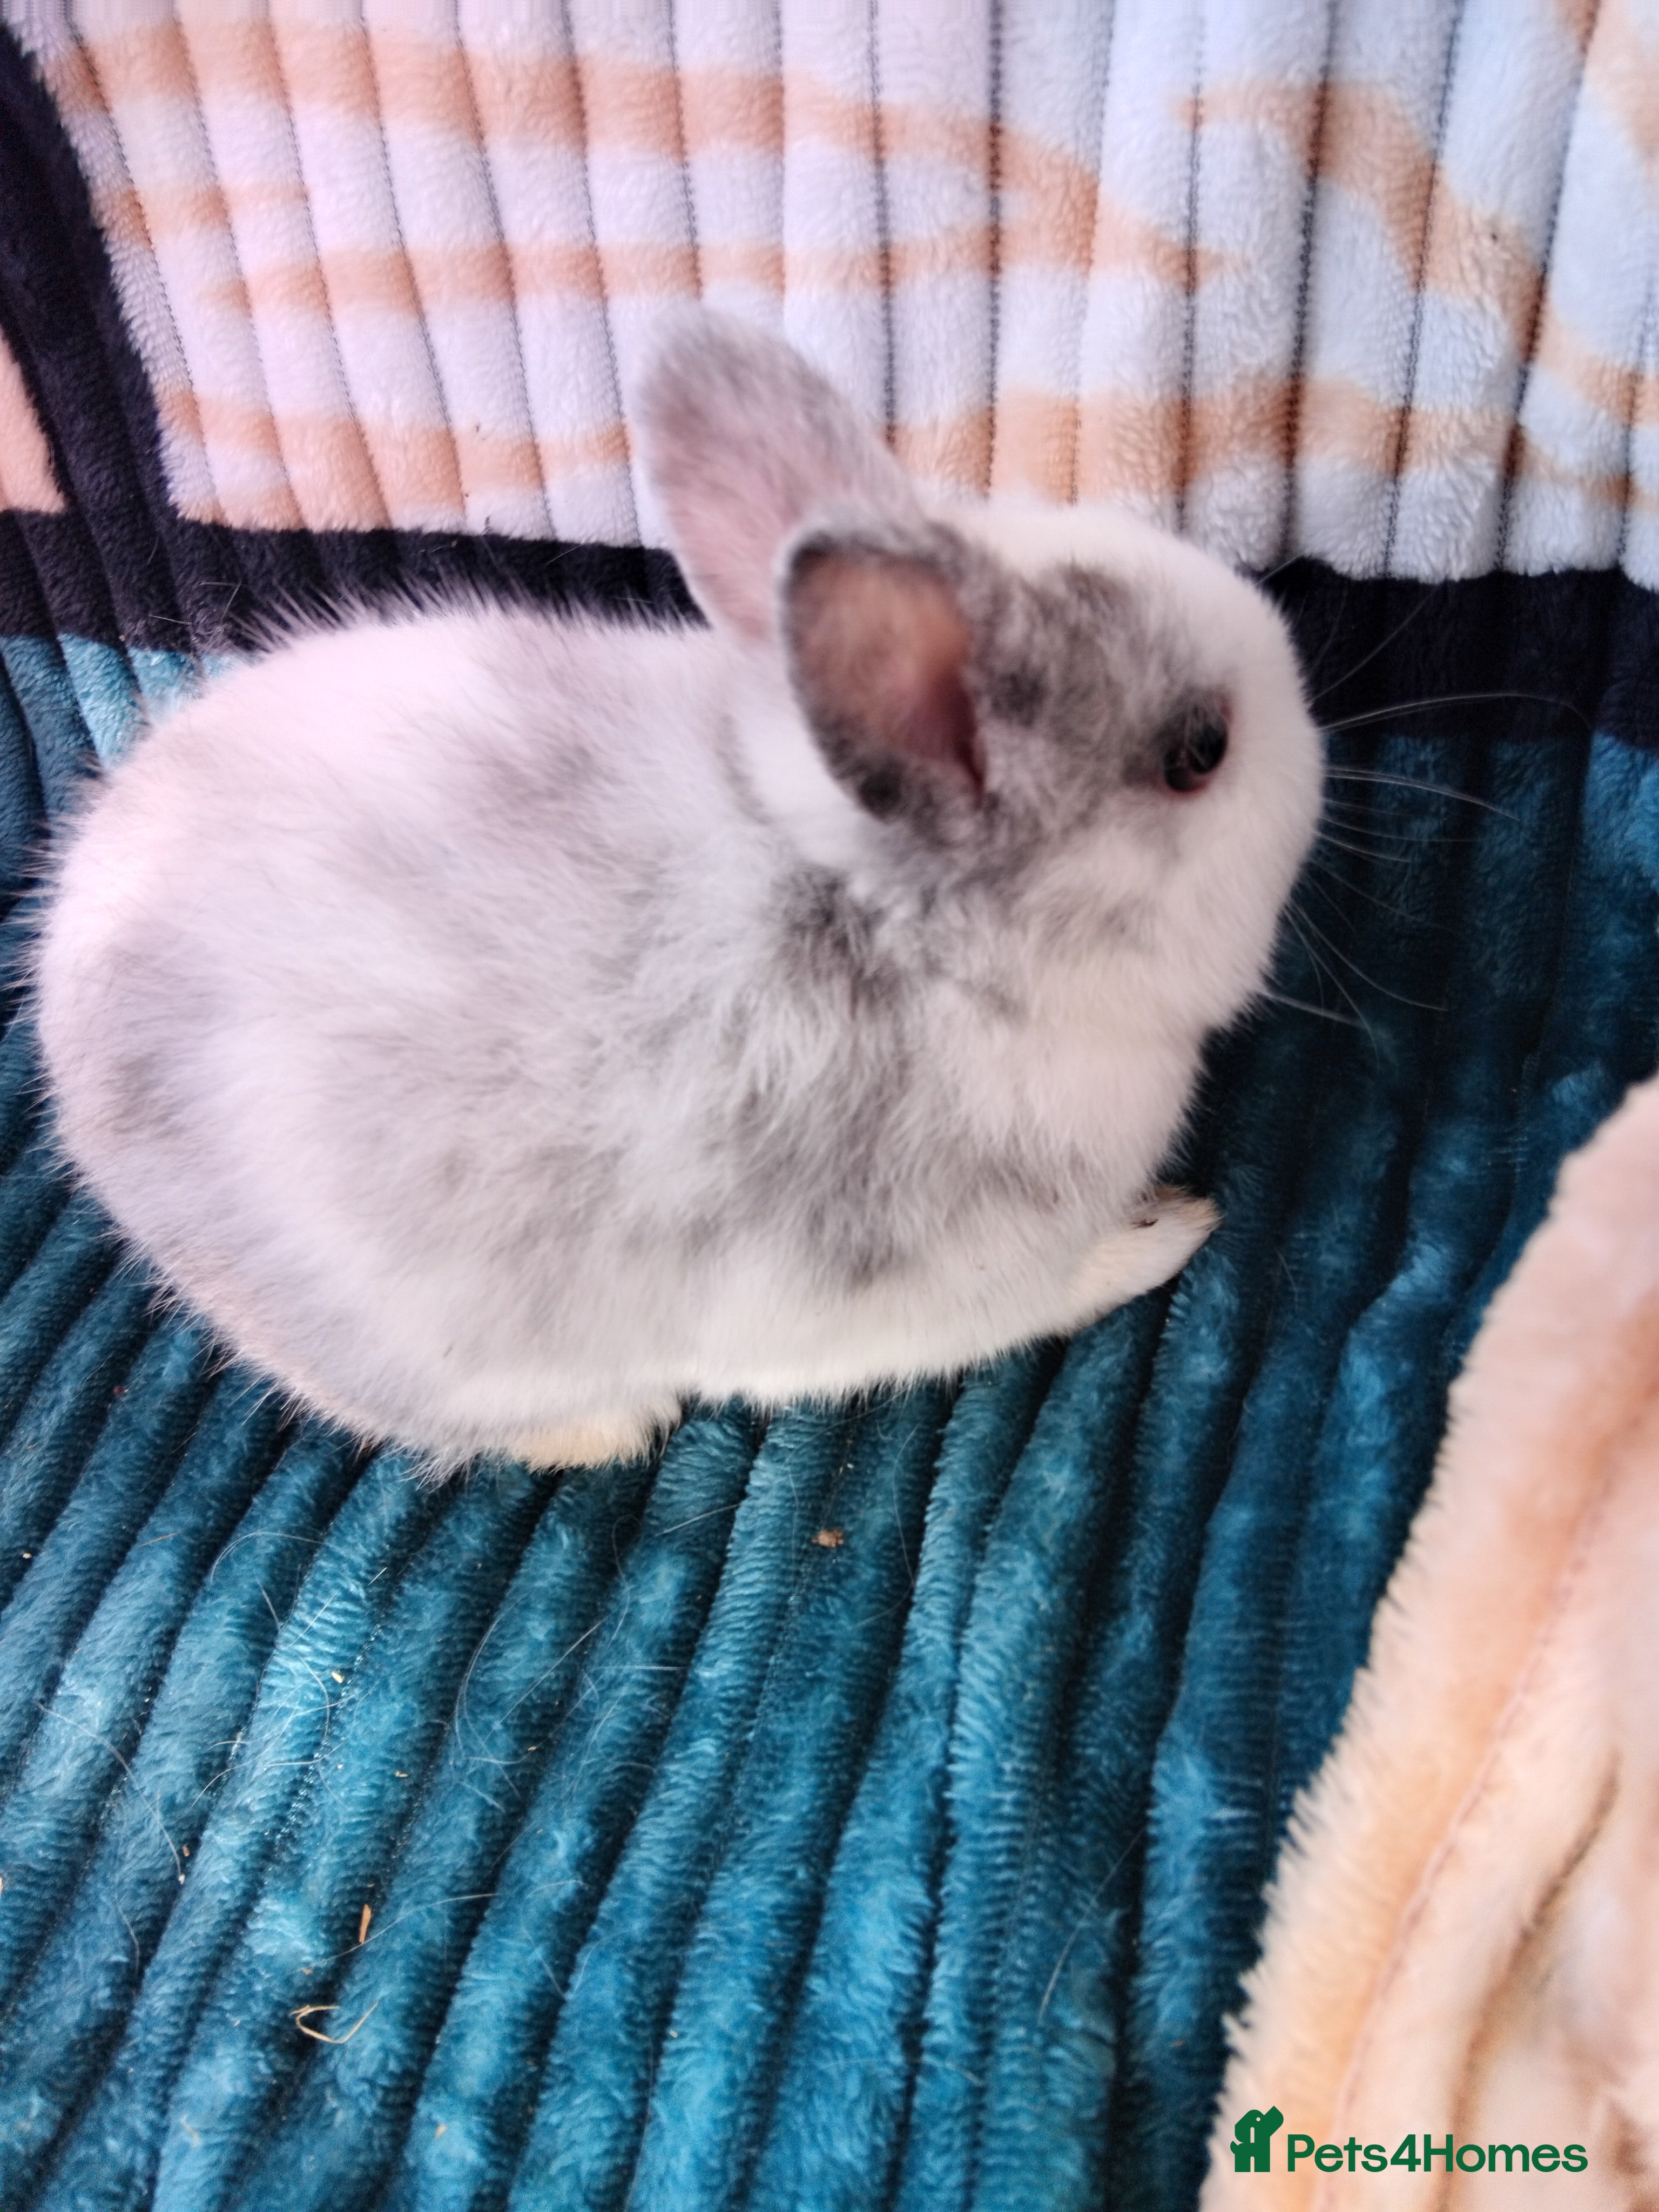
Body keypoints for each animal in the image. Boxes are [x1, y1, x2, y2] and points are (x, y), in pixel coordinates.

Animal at [32, 311, 1323, 1472]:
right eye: (1199, 750)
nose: (1314, 739)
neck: (922, 953)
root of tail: (58, 977)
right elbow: (1064, 1285)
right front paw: (1169, 1233)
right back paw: (607, 1429)